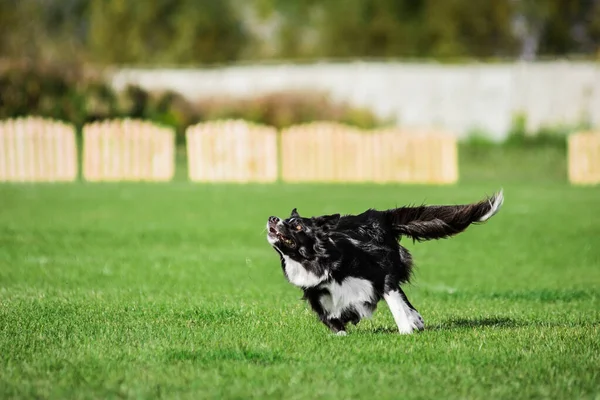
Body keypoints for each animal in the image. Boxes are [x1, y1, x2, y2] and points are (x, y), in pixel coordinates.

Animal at [264, 191, 504, 334]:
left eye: (297, 226)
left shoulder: (381, 272)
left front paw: (406, 329)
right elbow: (334, 320)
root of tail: (380, 215)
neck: (318, 260)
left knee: (401, 295)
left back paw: (415, 320)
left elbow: (394, 300)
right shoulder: (318, 295)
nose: (272, 218)